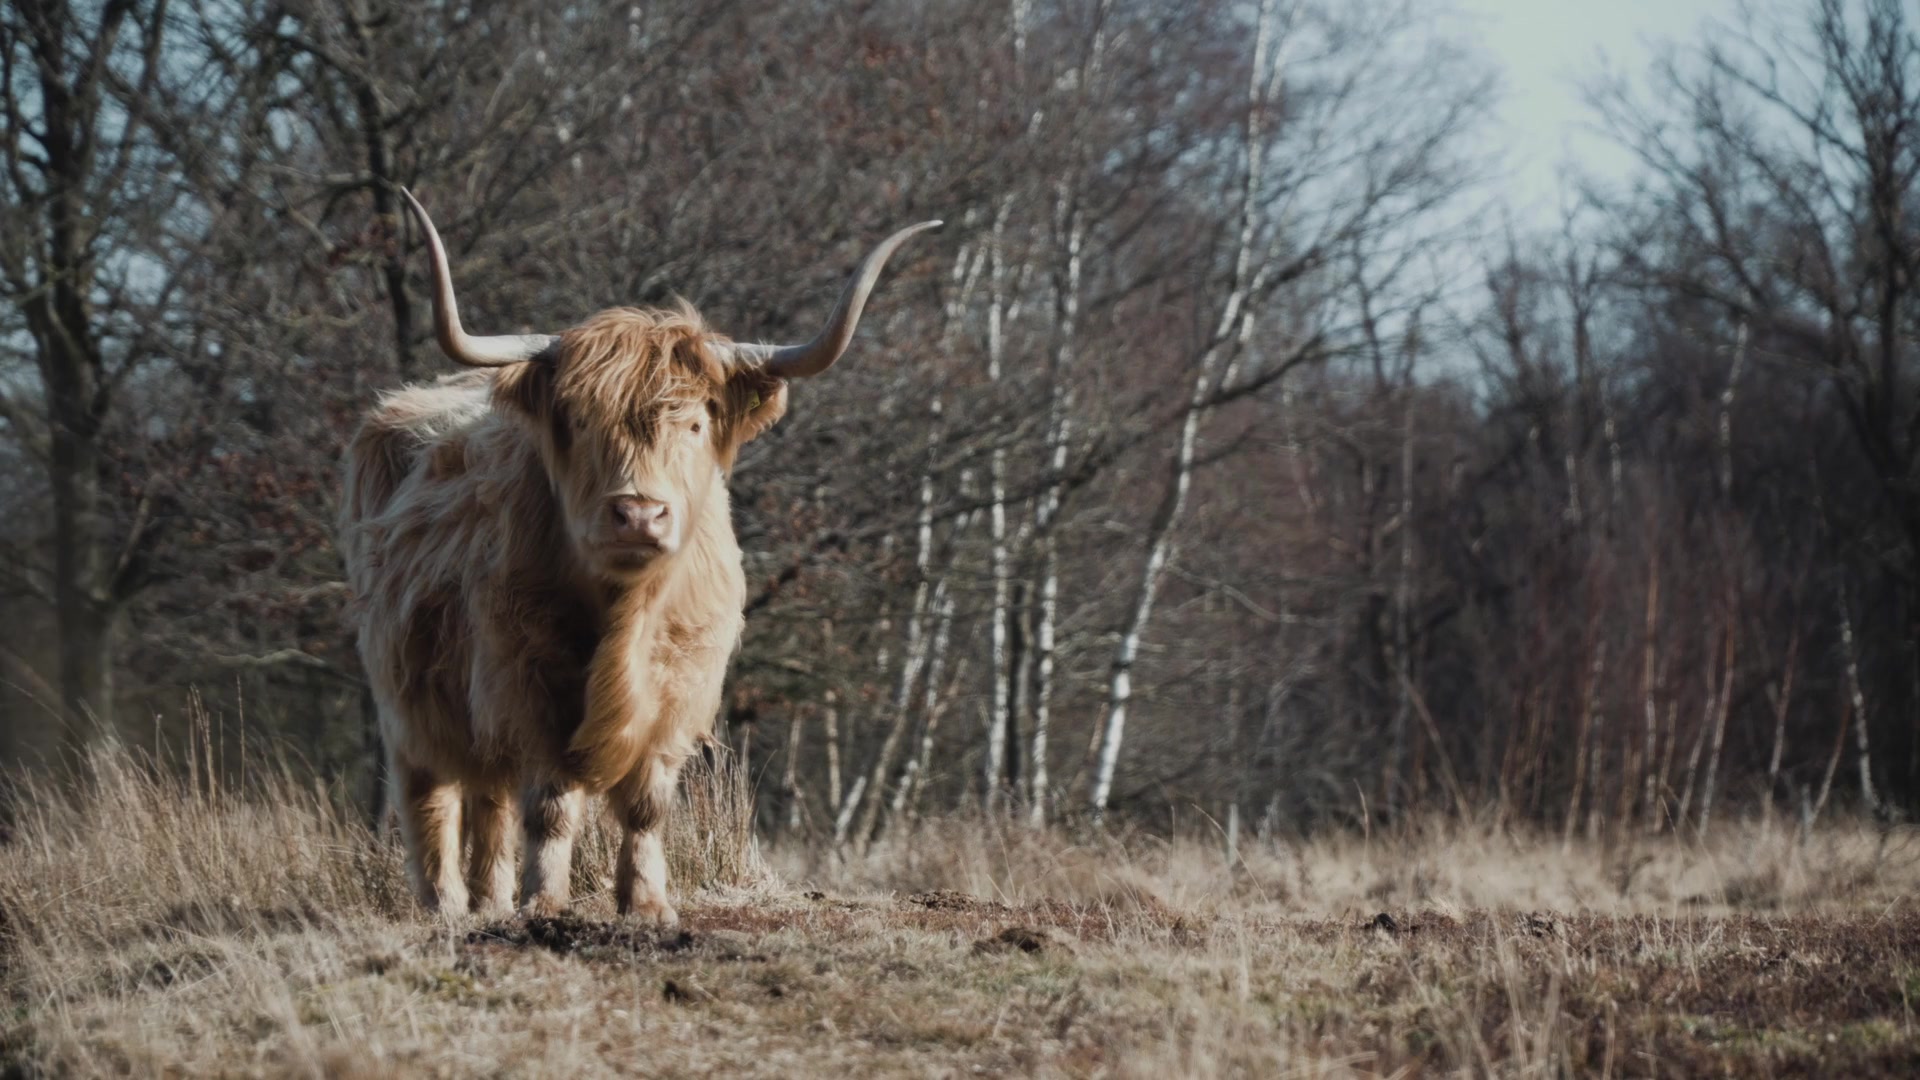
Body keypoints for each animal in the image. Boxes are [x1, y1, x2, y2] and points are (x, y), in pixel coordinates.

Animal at [340, 189, 937, 923]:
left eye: (696, 423)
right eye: (577, 420)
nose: (639, 513)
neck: (626, 611)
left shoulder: (681, 685)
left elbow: (647, 807)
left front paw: (647, 903)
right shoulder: (527, 679)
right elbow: (551, 806)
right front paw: (546, 901)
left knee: (488, 799)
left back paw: (490, 900)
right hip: (404, 696)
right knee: (431, 794)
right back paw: (447, 904)